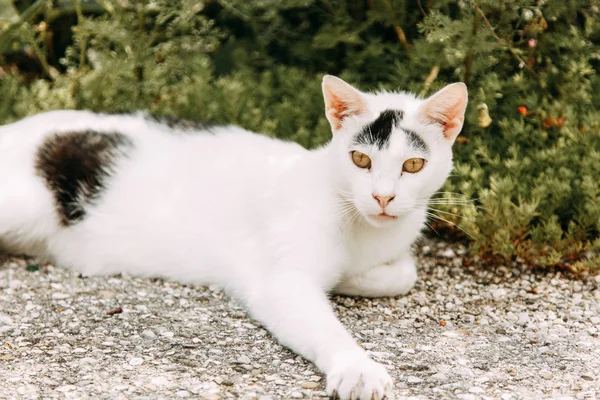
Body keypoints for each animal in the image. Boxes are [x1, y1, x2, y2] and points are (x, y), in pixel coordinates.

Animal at [0, 76, 468, 398]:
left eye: (412, 165)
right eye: (360, 159)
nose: (383, 197)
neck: (361, 228)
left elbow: (402, 274)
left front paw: (352, 278)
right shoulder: (282, 283)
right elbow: (324, 324)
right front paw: (357, 368)